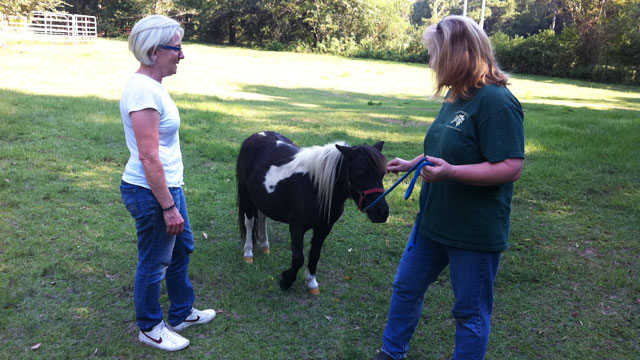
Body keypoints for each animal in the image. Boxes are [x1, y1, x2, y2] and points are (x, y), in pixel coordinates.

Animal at [236, 131, 390, 294]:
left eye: (382, 174)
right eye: (361, 174)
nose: (382, 212)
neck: (315, 187)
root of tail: (255, 136)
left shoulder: (324, 228)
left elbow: (315, 255)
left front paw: (311, 282)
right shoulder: (296, 227)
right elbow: (298, 258)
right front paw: (286, 280)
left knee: (263, 217)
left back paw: (265, 244)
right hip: (245, 195)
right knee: (249, 222)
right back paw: (248, 253)